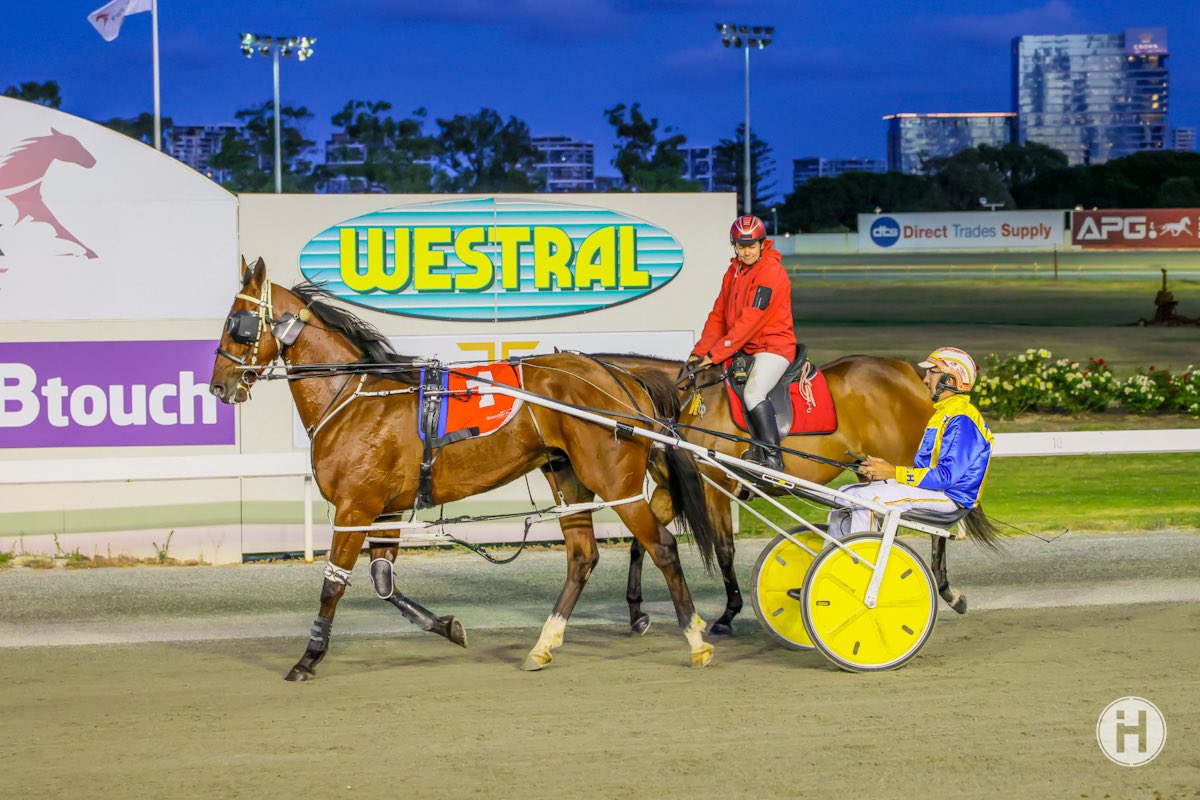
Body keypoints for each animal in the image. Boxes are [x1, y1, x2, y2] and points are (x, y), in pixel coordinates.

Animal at [208, 259, 718, 680]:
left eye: (238, 323)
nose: (219, 386)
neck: (355, 397)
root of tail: (620, 377)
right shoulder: (385, 510)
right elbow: (383, 583)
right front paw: (448, 626)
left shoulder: (355, 509)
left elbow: (333, 586)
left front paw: (308, 658)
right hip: (566, 477)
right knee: (582, 558)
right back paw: (543, 645)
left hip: (614, 483)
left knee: (662, 547)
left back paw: (695, 640)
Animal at [596, 353, 1000, 636]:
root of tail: (905, 371)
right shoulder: (669, 490)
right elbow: (643, 543)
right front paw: (636, 613)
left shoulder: (715, 486)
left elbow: (724, 550)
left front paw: (728, 613)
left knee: (929, 529)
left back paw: (941, 590)